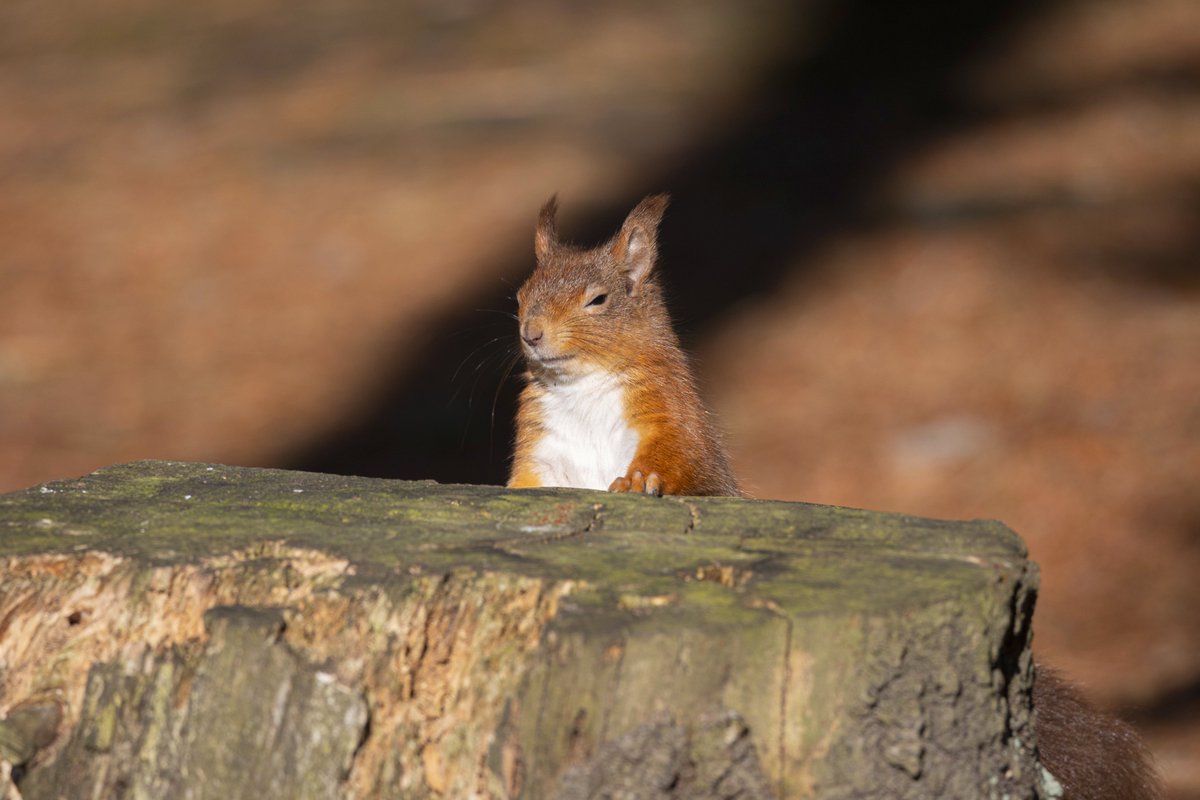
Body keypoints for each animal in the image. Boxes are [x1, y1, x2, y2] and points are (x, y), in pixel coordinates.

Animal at [507, 194, 1162, 800]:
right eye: (519, 294)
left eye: (598, 300)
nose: (530, 334)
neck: (582, 385)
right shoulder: (542, 451)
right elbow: (524, 484)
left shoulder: (671, 415)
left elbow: (679, 462)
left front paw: (641, 482)